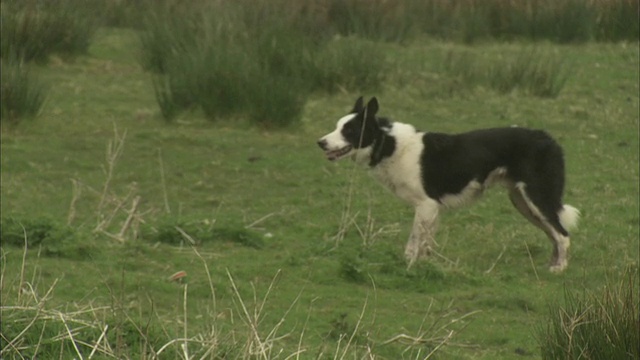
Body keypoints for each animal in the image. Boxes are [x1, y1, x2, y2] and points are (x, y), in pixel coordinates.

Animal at [316, 97, 580, 272]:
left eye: (349, 130)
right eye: (337, 127)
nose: (320, 142)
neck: (388, 143)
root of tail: (548, 138)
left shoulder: (426, 205)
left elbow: (414, 243)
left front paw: (409, 267)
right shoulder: (432, 209)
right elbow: (424, 244)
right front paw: (423, 267)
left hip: (537, 197)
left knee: (563, 234)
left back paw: (559, 270)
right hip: (523, 202)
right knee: (554, 234)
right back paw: (551, 264)